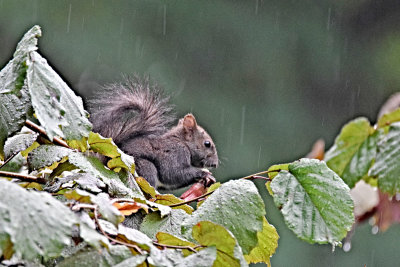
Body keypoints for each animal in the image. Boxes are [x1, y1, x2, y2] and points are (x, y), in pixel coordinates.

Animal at [88, 76, 219, 191]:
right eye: (207, 144)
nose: (215, 164)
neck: (182, 142)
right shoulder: (175, 153)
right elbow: (174, 173)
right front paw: (204, 173)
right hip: (143, 167)